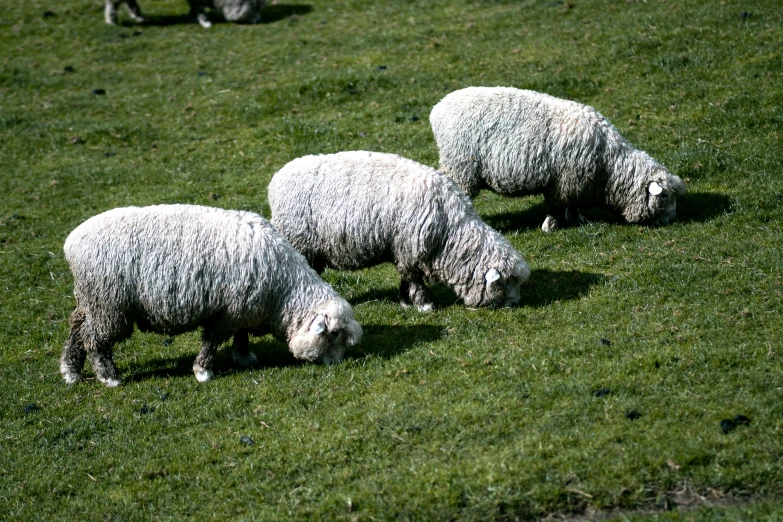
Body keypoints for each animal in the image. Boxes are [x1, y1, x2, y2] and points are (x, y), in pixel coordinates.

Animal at [60, 203, 362, 386]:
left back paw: (70, 372)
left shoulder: (243, 309)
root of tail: (71, 242)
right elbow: (212, 342)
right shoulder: (227, 312)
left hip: (89, 300)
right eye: (333, 334)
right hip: (108, 304)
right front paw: (203, 371)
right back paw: (108, 377)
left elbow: (241, 335)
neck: (283, 291)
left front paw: (243, 357)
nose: (337, 364)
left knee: (76, 328)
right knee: (94, 340)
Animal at [266, 151, 528, 312]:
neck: (450, 232)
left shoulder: (404, 250)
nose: (515, 304)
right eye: (504, 283)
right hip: (300, 242)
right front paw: (424, 306)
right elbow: (414, 279)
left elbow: (406, 277)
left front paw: (405, 302)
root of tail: (276, 180)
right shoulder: (410, 247)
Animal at [428, 87, 688, 232]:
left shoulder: (577, 182)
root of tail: (438, 108)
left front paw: (576, 219)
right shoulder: (563, 182)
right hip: (461, 167)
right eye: (664, 196)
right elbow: (555, 207)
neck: (609, 164)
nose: (672, 220)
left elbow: (572, 205)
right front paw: (549, 227)